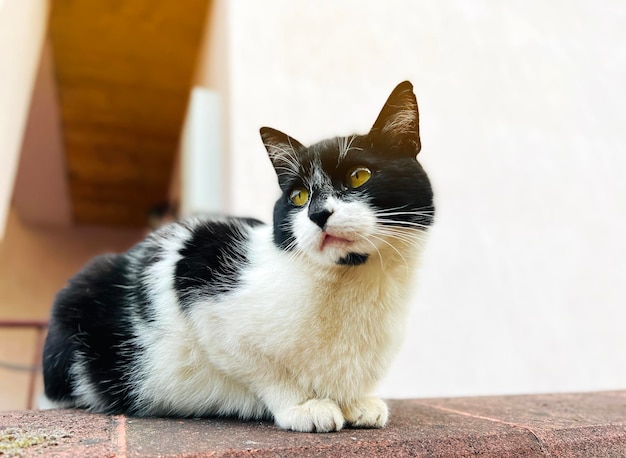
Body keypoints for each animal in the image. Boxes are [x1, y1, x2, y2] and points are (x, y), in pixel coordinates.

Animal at [41, 81, 434, 432]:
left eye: (359, 176)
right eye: (298, 196)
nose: (318, 214)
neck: (354, 278)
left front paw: (355, 402)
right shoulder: (200, 275)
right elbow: (263, 370)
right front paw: (303, 405)